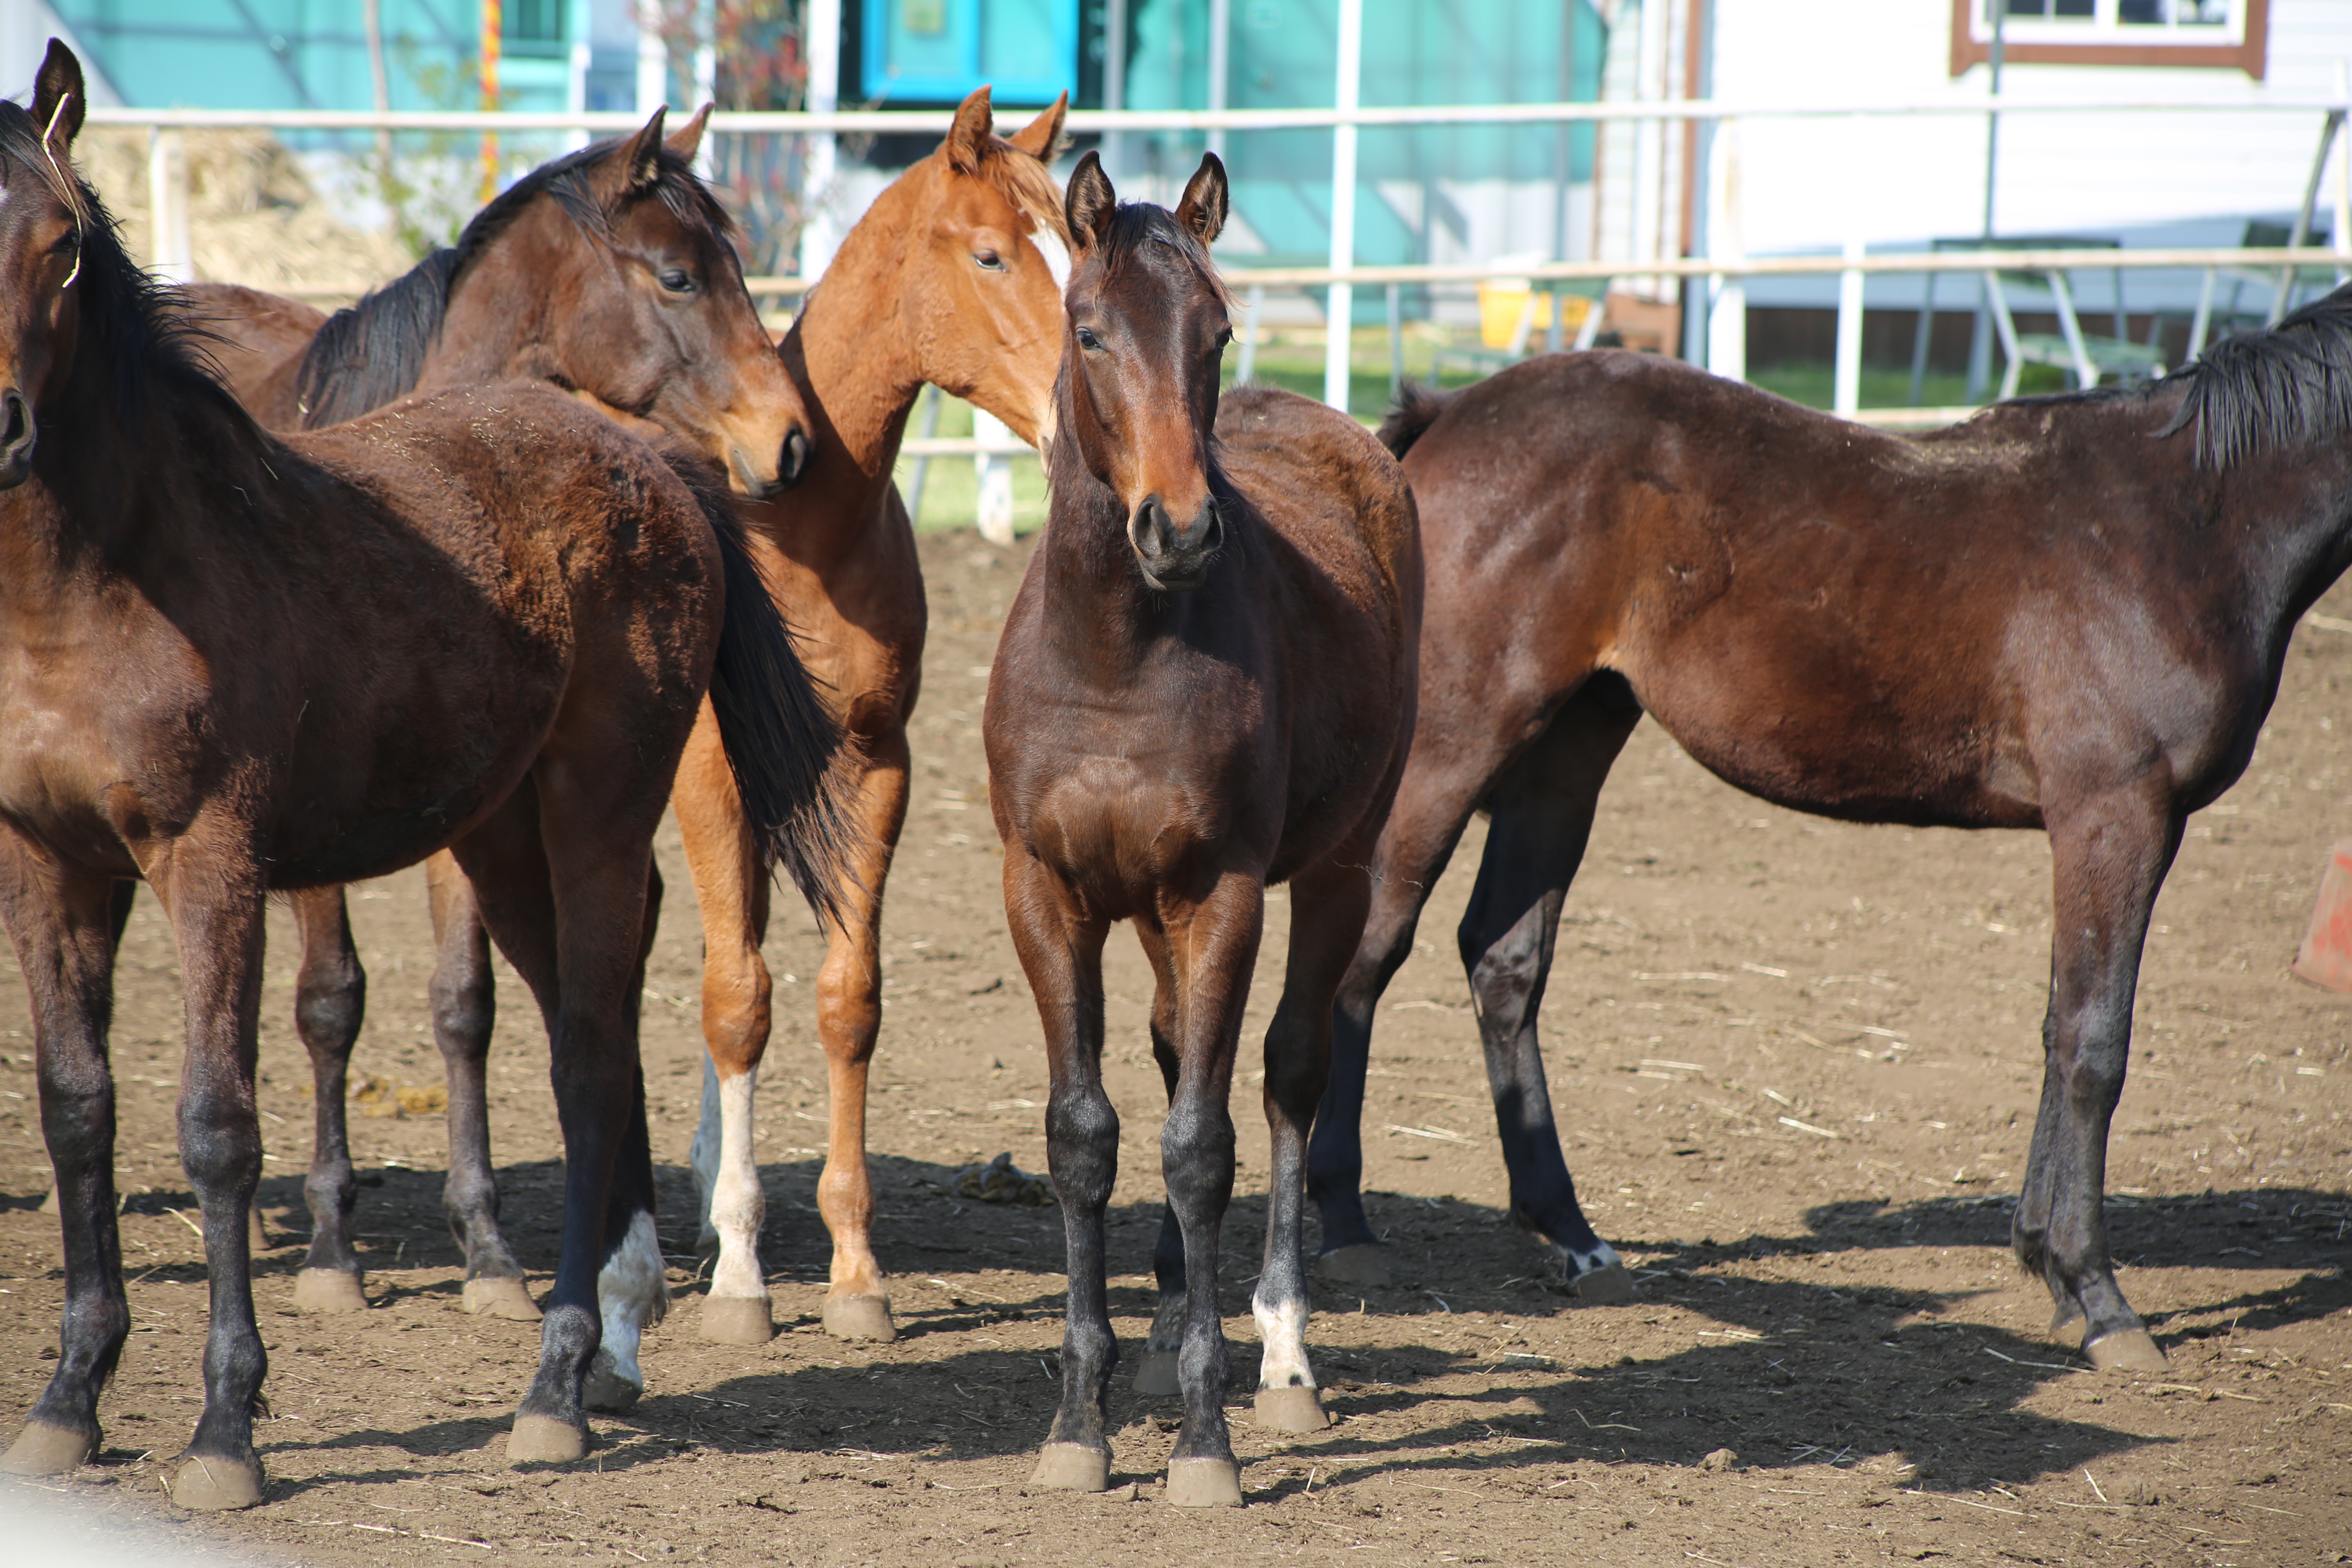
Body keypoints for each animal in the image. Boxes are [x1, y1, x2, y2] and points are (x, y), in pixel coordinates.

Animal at [176, 104, 818, 1335]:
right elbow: (331, 1004)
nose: (792, 442)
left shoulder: (465, 813)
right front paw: (334, 1248)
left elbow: (464, 1004)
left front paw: (489, 1249)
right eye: (677, 274)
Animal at [677, 80, 1072, 1345]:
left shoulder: (874, 766)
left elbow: (843, 1000)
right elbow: (737, 1000)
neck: (792, 525)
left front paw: (854, 1272)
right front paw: (741, 1279)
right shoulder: (709, 776)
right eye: (992, 254)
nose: (1084, 424)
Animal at [988, 153, 1421, 1504]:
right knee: (1185, 1047)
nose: (1178, 530)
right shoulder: (1048, 892)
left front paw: (1203, 1441)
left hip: (1338, 869)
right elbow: (1084, 1136)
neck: (1116, 655)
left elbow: (1200, 1145)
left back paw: (1280, 1350)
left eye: (1218, 333)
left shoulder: (1220, 892)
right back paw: (1181, 1309)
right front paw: (1079, 1425)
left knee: (1287, 1075)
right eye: (1090, 331)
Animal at [1317, 297, 2352, 1373]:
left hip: (1570, 743)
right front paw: (2097, 1297)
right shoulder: (2115, 811)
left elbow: (2056, 1025)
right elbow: (2090, 1042)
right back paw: (1345, 1224)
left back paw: (1571, 1233)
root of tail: (1442, 419)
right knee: (1363, 957)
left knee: (1504, 961)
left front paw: (2047, 1263)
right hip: (1452, 747)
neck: (2186, 515)